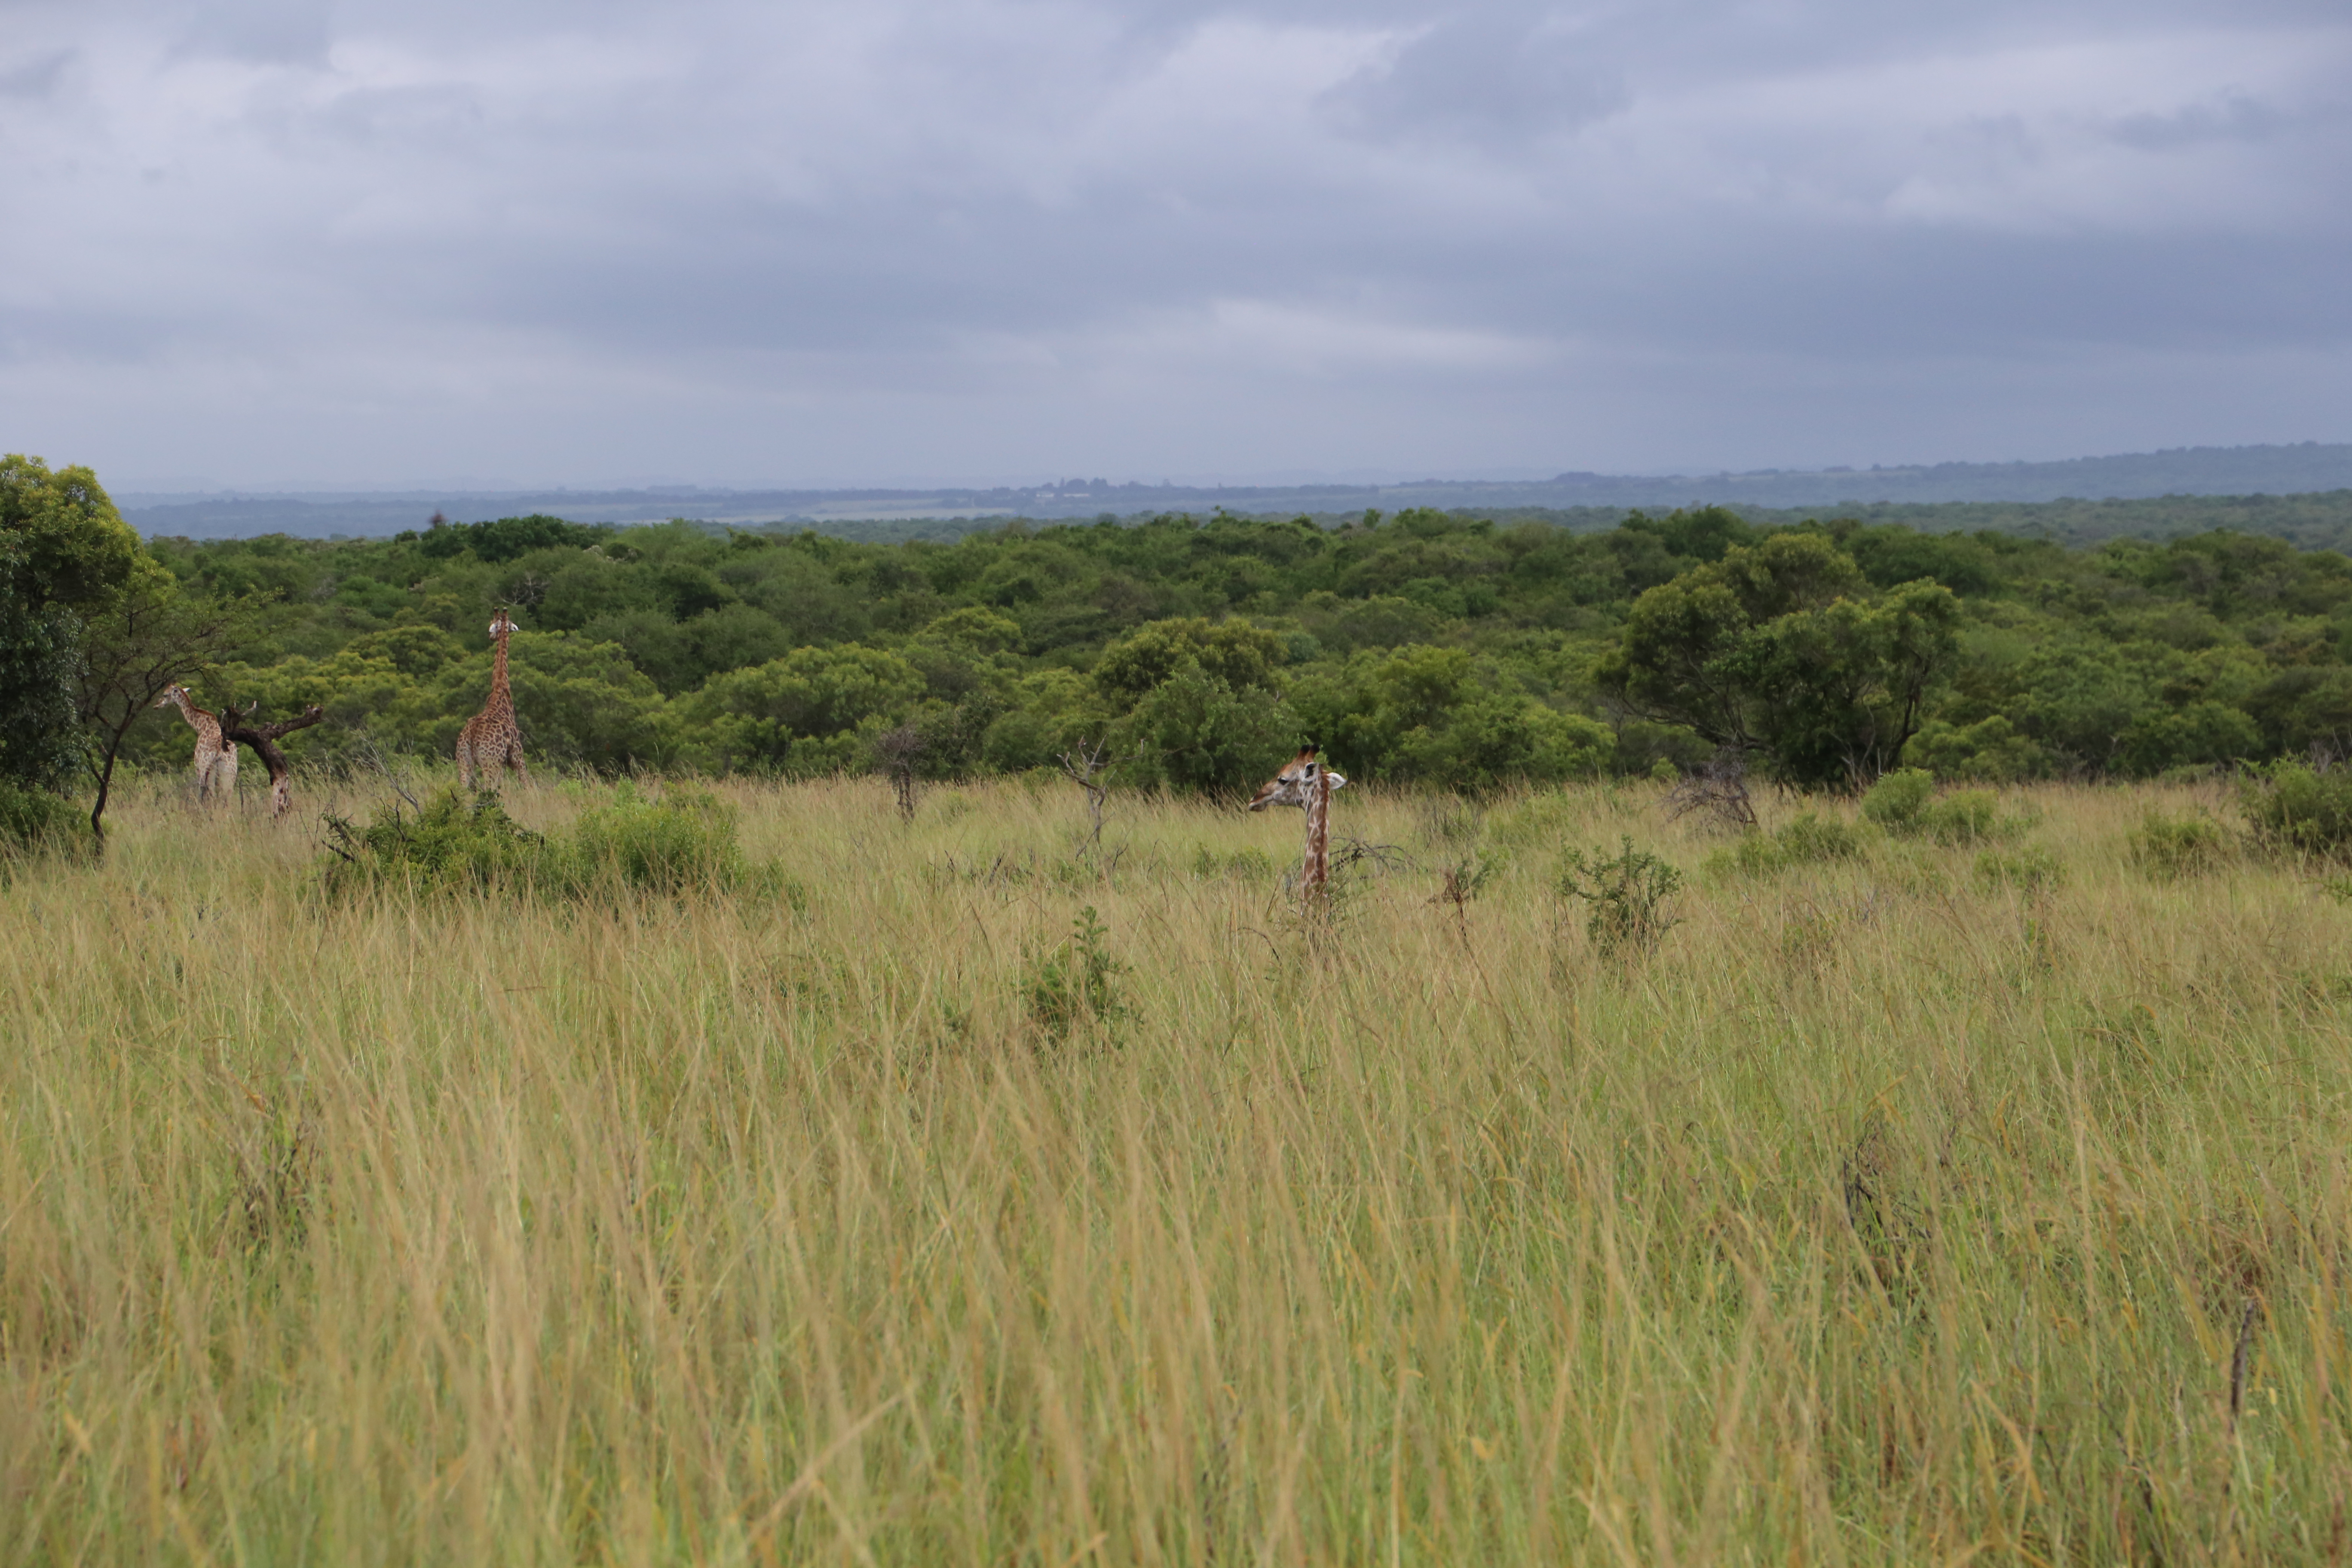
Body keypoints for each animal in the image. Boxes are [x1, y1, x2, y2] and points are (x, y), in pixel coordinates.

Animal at [154, 685, 239, 803]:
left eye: (165, 695)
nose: (156, 706)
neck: (201, 726)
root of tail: (219, 753)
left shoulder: (198, 767)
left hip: (207, 770)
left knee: (212, 794)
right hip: (230, 772)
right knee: (227, 795)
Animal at [455, 610, 528, 790]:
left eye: (493, 623)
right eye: (511, 624)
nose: (491, 637)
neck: (500, 688)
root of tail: (472, 735)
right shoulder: (517, 755)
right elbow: (527, 783)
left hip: (464, 762)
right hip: (490, 763)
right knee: (490, 788)